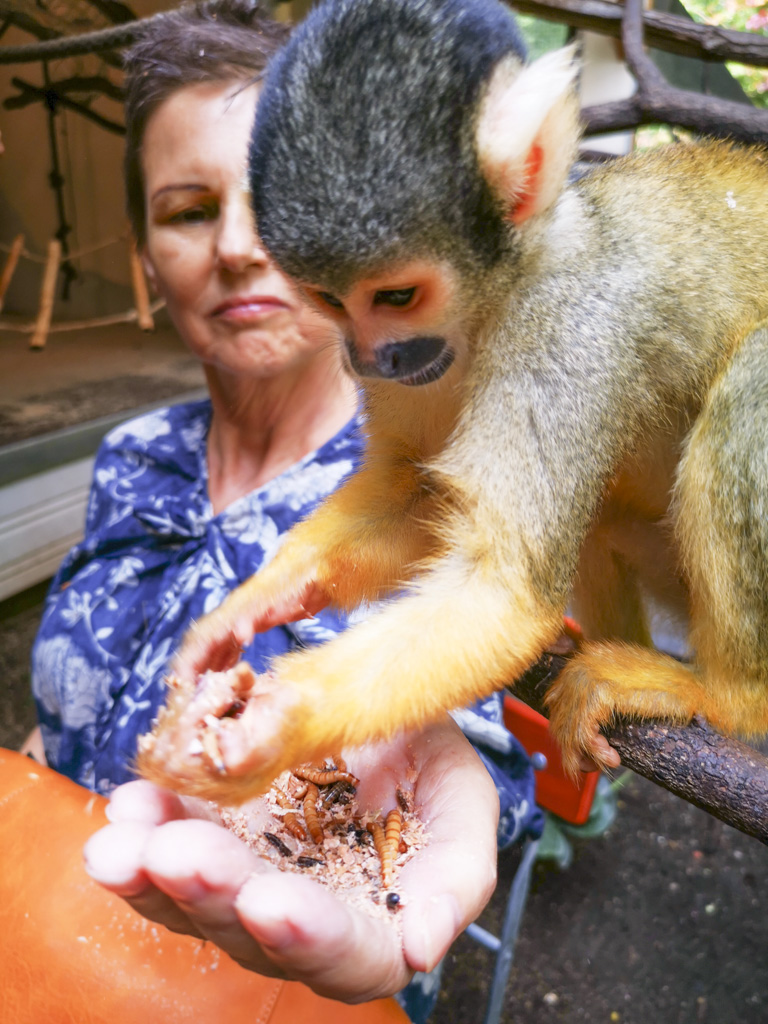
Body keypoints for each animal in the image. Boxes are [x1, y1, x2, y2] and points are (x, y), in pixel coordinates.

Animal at [140, 0, 768, 798]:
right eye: (328, 301)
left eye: (397, 296)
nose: (368, 357)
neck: (493, 297)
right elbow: (416, 489)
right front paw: (257, 599)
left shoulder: (568, 321)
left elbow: (501, 591)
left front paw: (275, 724)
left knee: (752, 376)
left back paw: (726, 696)